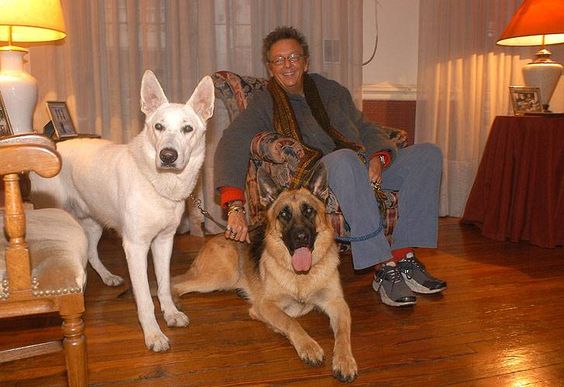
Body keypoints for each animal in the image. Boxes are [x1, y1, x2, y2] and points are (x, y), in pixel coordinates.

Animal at [31, 69, 216, 352]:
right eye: (158, 127)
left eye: (188, 129)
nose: (168, 156)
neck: (159, 183)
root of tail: (54, 147)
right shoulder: (135, 246)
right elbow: (145, 298)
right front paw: (153, 335)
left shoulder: (164, 241)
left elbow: (164, 285)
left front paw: (171, 314)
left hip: (94, 222)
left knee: (91, 252)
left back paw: (106, 277)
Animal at [172, 167, 356, 384]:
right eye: (284, 214)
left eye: (309, 211)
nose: (301, 237)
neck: (301, 276)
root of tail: (218, 236)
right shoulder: (267, 305)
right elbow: (290, 320)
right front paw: (308, 346)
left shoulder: (337, 304)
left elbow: (343, 332)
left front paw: (345, 360)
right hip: (223, 275)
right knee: (174, 282)